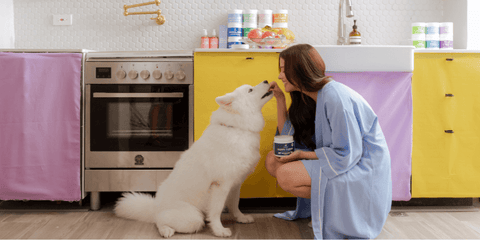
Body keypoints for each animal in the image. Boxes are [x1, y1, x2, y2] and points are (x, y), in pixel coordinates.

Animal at [114, 80, 274, 238]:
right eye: (250, 90)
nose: (267, 80)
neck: (237, 128)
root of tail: (155, 207)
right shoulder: (220, 185)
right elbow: (216, 211)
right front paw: (219, 230)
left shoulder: (235, 184)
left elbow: (235, 204)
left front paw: (241, 218)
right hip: (193, 219)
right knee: (159, 221)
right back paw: (166, 230)